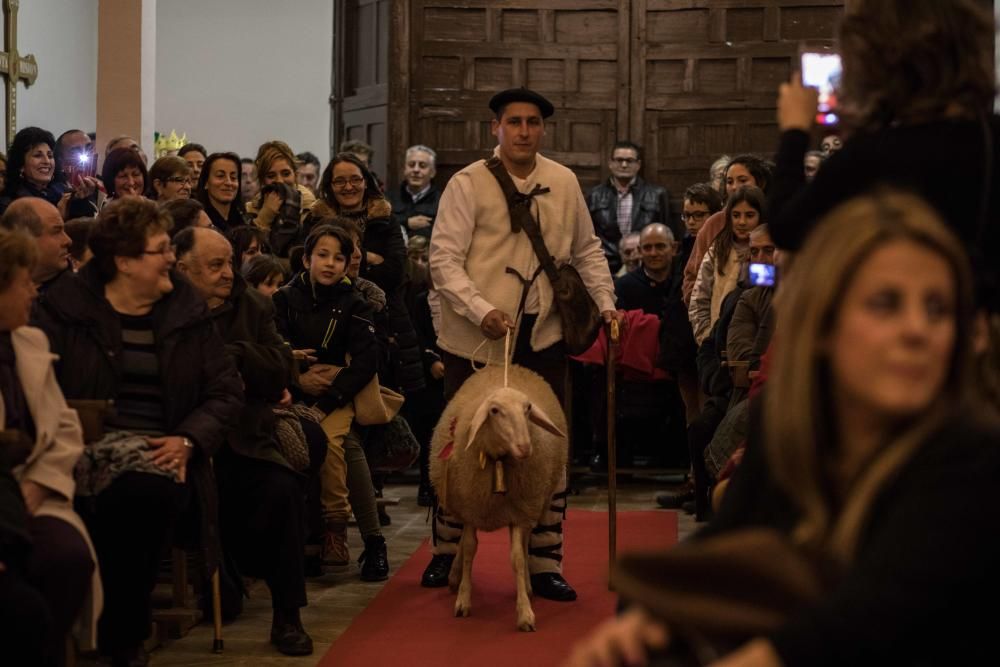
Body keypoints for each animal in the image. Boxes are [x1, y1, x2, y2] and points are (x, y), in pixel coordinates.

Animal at [430, 366, 572, 632]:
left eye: (528, 408)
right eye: (494, 411)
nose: (525, 448)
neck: (498, 460)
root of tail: (507, 366)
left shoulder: (518, 513)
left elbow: (516, 558)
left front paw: (525, 611)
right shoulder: (471, 509)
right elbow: (468, 549)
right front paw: (463, 599)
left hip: (530, 505)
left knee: (525, 545)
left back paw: (528, 584)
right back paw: (453, 576)